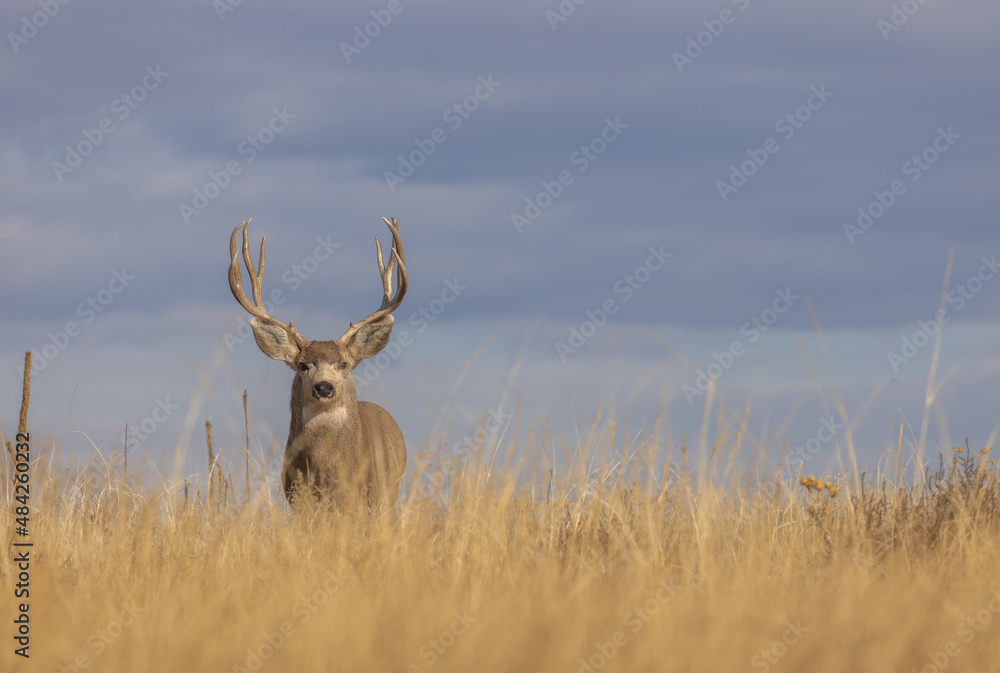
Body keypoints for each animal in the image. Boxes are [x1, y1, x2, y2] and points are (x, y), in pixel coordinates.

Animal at [228, 217, 408, 512]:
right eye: (303, 365)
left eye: (344, 364)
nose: (324, 387)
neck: (327, 469)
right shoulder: (297, 498)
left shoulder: (359, 497)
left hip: (389, 493)